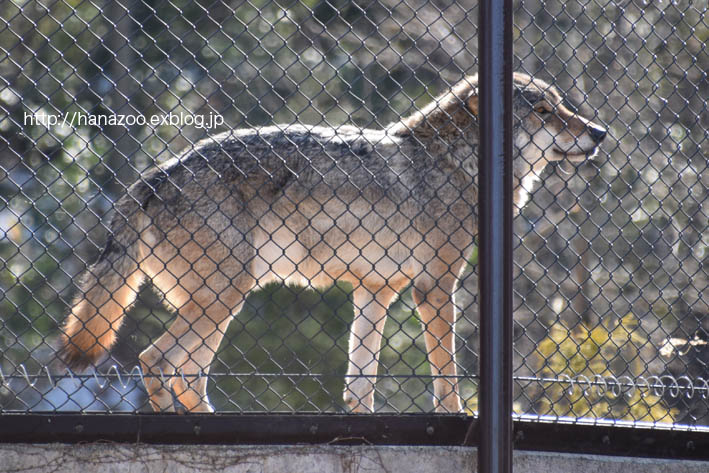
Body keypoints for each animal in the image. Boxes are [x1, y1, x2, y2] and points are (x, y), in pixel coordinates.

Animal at [58, 71, 604, 412]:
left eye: (562, 106)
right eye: (545, 111)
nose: (599, 131)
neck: (458, 163)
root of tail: (153, 175)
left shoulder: (376, 292)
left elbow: (359, 386)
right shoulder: (434, 288)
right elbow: (445, 374)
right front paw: (457, 416)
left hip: (223, 303)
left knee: (184, 374)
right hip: (224, 296)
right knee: (156, 361)